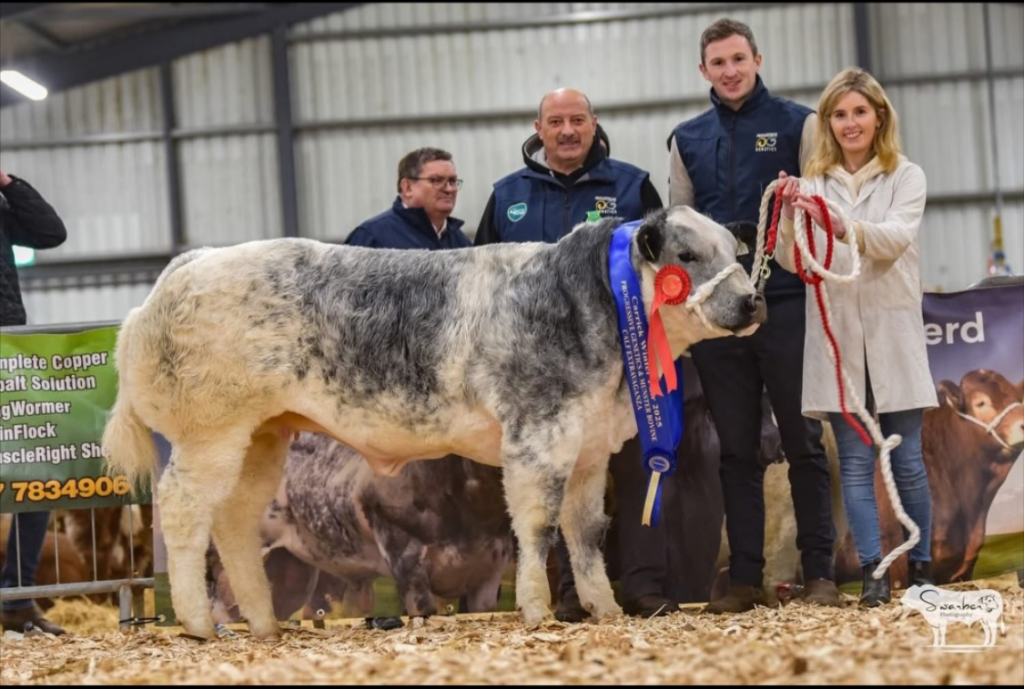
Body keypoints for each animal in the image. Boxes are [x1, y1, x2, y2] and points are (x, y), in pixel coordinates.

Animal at [102, 208, 765, 639]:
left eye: (735, 253)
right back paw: (196, 624)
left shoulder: (589, 445)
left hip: (262, 436)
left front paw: (604, 609)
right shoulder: (538, 435)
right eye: (686, 255)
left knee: (235, 521)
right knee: (184, 510)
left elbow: (585, 532)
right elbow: (538, 527)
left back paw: (264, 623)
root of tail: (187, 266)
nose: (752, 300)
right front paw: (537, 611)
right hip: (209, 433)